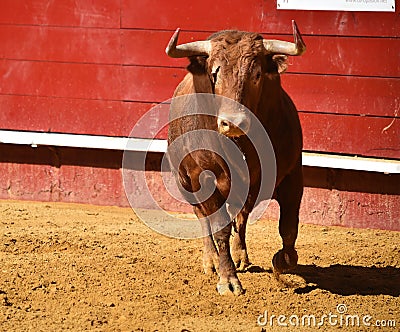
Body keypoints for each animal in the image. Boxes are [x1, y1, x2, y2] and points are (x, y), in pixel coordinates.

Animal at [166, 21, 306, 296]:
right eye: (215, 74)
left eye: (257, 74)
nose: (232, 123)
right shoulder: (205, 181)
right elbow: (219, 228)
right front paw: (228, 279)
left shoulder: (293, 174)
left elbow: (288, 227)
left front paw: (282, 263)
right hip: (185, 181)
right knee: (203, 218)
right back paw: (211, 260)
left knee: (242, 216)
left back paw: (241, 255)